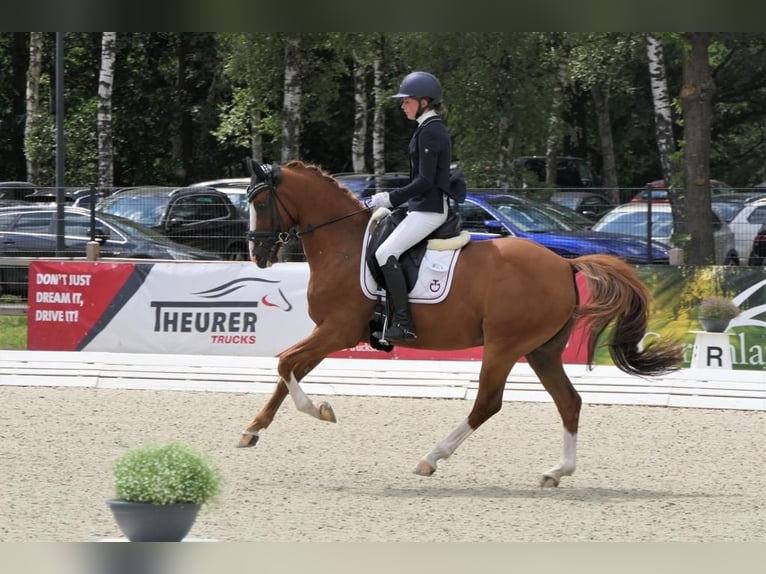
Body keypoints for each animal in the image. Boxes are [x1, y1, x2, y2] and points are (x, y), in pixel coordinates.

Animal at [240, 160, 684, 488]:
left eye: (260, 202)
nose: (257, 255)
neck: (343, 246)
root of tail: (564, 265)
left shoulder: (338, 330)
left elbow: (284, 363)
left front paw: (321, 410)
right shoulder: (327, 332)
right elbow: (288, 371)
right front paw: (252, 430)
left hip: (504, 346)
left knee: (487, 403)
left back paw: (431, 458)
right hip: (541, 351)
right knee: (568, 401)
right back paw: (556, 472)